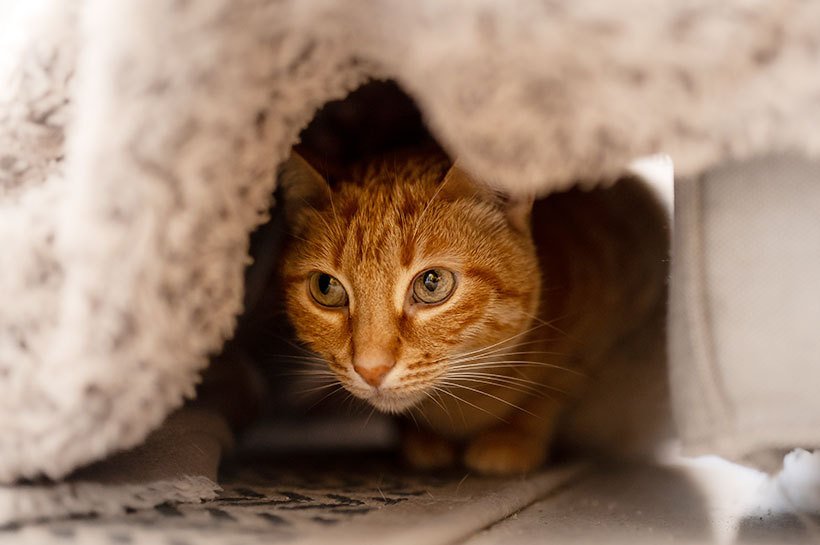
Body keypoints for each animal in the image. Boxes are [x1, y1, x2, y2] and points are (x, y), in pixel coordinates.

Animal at [278, 148, 668, 472]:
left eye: (432, 283)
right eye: (326, 288)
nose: (370, 370)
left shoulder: (601, 335)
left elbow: (549, 393)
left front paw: (513, 439)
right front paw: (423, 440)